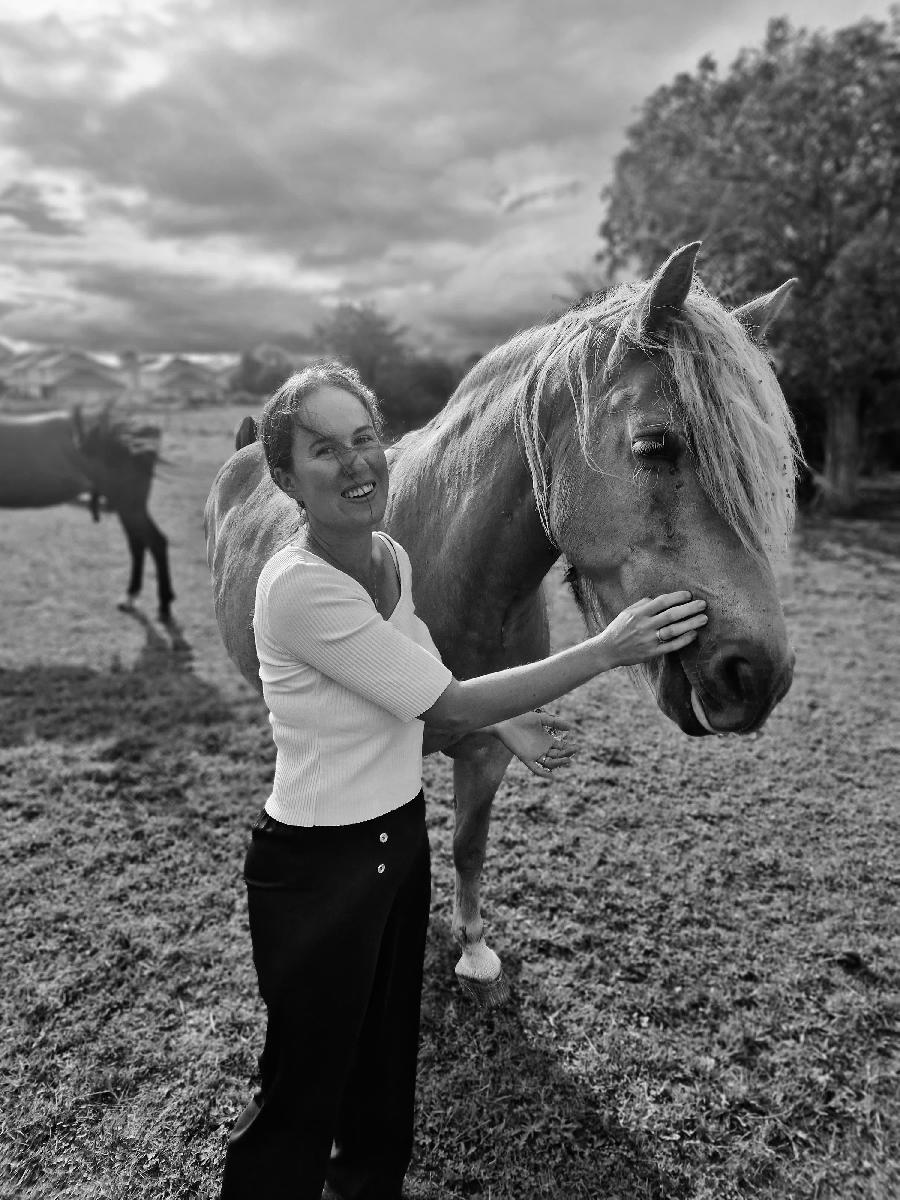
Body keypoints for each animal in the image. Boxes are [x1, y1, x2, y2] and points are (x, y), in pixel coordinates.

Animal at [0, 408, 175, 624]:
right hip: (127, 506)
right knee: (139, 544)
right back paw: (131, 598)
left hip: (130, 504)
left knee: (155, 542)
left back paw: (162, 605)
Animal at [206, 243, 801, 1003]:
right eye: (656, 444)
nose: (760, 674)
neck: (450, 567)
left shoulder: (488, 750)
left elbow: (468, 845)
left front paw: (473, 949)